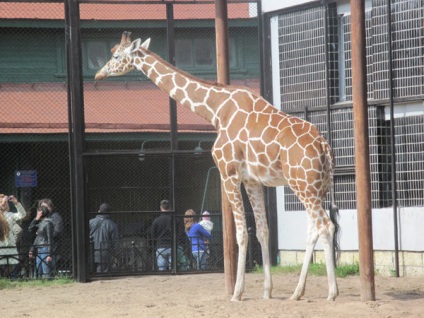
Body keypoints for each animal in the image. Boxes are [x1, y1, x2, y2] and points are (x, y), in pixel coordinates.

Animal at [94, 31, 340, 300]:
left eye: (116, 56)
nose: (99, 74)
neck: (216, 111)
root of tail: (324, 147)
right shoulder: (252, 180)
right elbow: (262, 231)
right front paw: (266, 292)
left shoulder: (228, 173)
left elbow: (242, 233)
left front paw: (237, 293)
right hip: (317, 187)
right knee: (314, 229)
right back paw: (298, 292)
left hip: (302, 184)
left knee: (325, 226)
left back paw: (330, 292)